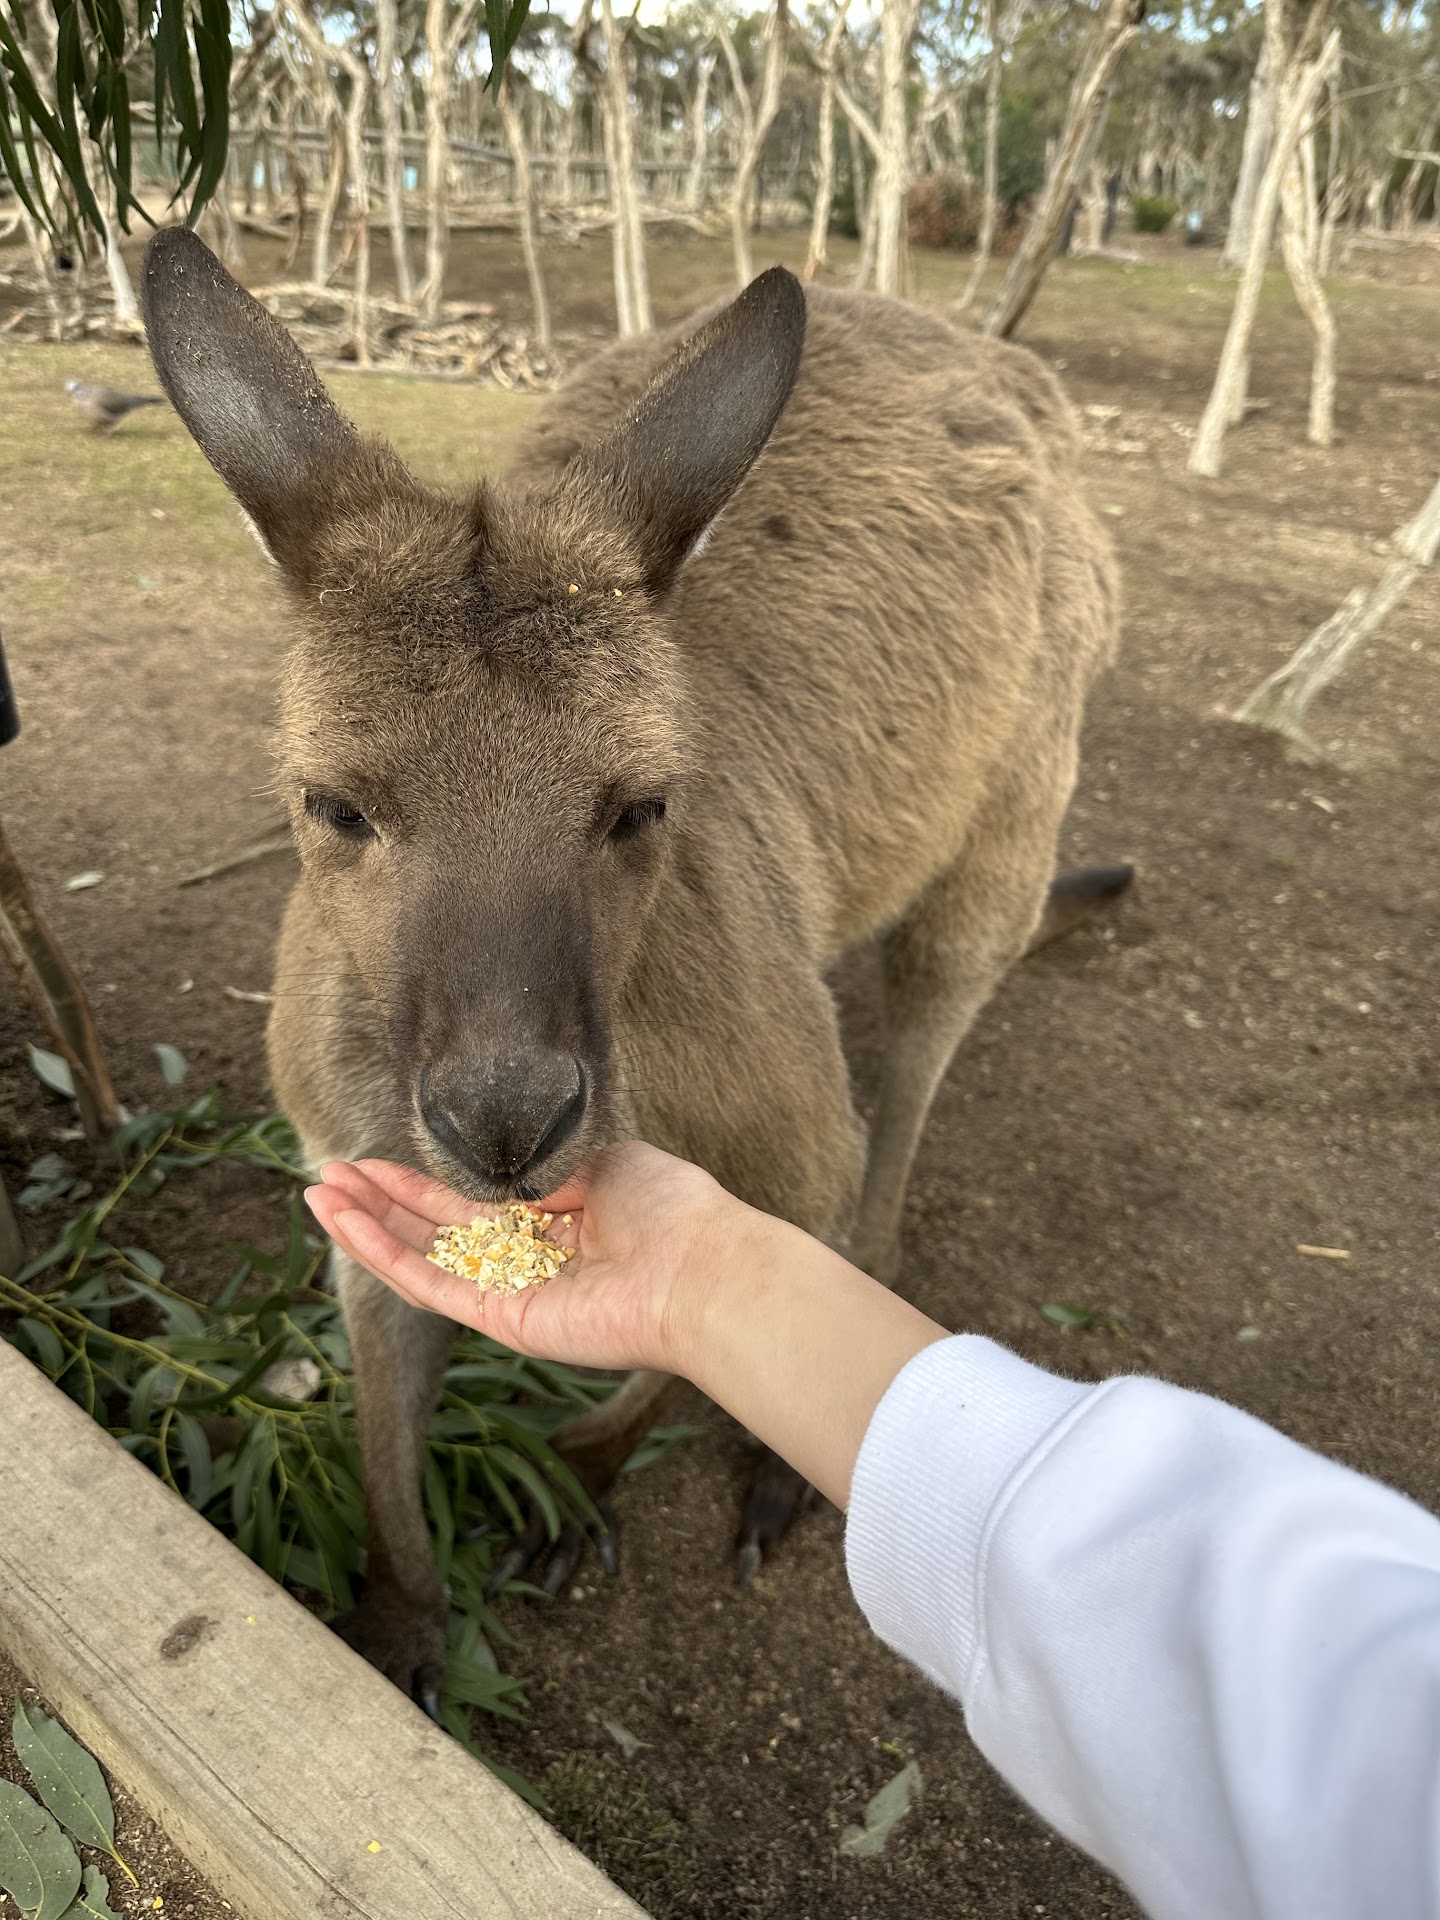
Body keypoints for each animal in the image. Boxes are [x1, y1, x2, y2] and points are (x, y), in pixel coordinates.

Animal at [141, 227, 1125, 1720]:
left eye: (643, 808)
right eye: (332, 807)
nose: (503, 1126)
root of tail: (971, 344)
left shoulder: (780, 1126)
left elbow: (729, 1292)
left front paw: (576, 1481)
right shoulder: (351, 1158)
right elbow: (379, 1415)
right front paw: (399, 1630)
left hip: (1017, 785)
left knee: (907, 1089)